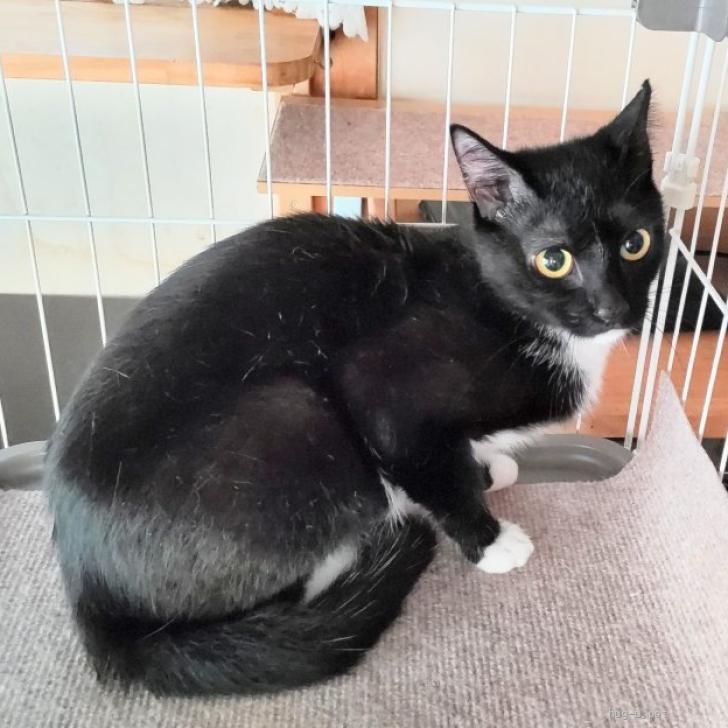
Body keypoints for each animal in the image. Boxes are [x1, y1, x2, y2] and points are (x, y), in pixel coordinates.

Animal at [45, 81, 664, 696]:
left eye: (636, 243)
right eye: (553, 259)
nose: (614, 308)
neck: (511, 309)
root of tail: (94, 600)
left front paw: (487, 467)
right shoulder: (381, 385)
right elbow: (429, 466)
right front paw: (489, 540)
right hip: (298, 418)